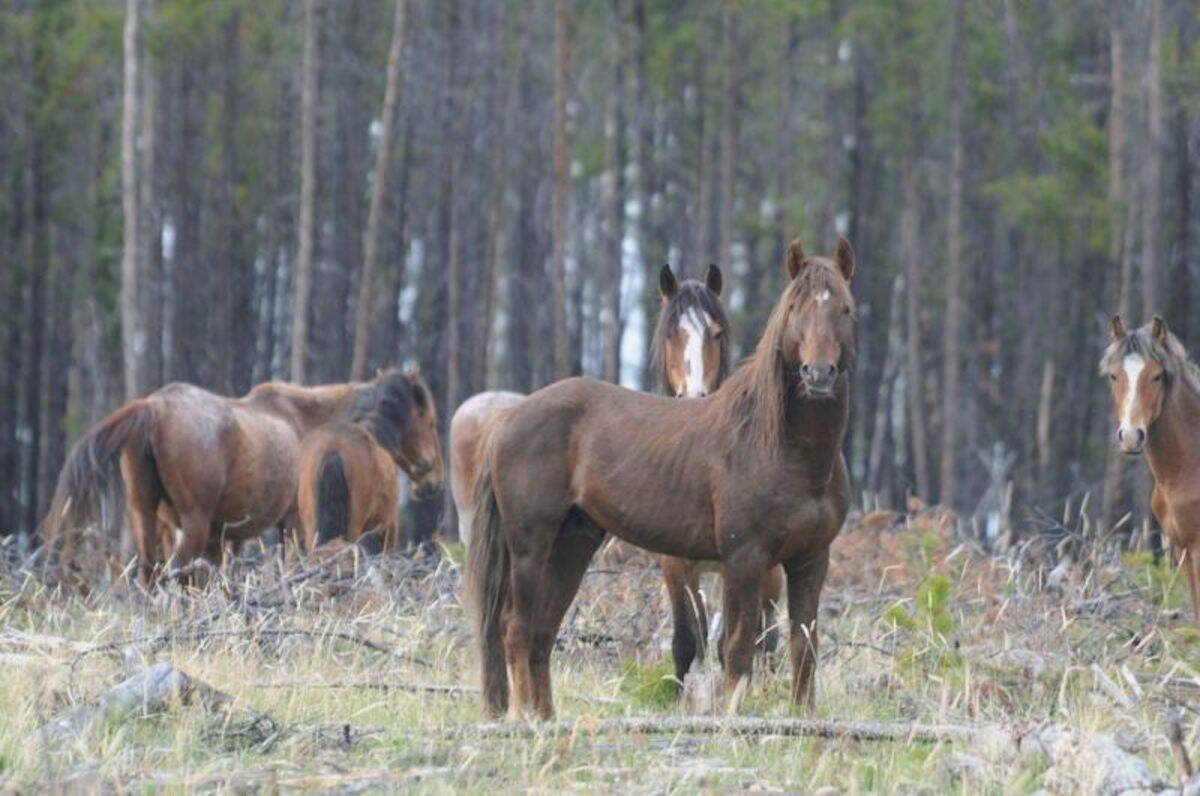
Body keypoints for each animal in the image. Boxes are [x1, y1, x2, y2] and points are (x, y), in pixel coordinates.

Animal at [297, 372, 444, 554]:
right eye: (431, 423)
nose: (436, 481)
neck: (377, 433)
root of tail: (333, 449)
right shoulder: (388, 528)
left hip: (313, 532)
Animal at [465, 237, 854, 720]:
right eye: (796, 307)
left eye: (845, 308)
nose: (818, 374)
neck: (783, 448)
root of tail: (506, 419)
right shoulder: (743, 558)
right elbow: (735, 650)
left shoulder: (809, 560)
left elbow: (804, 649)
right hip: (529, 547)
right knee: (515, 628)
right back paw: (525, 721)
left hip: (572, 545)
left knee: (541, 632)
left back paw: (548, 720)